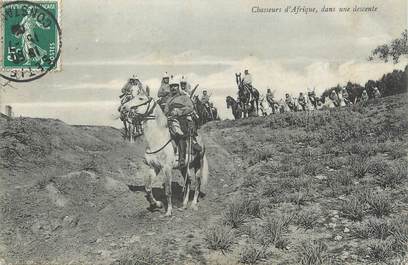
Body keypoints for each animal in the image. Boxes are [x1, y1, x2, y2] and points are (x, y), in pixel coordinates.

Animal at [122, 81, 209, 216]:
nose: (123, 108)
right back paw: (184, 205)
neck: (157, 138)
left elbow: (168, 190)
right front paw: (156, 204)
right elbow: (148, 188)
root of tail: (200, 140)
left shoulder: (166, 168)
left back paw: (193, 204)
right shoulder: (154, 167)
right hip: (184, 167)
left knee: (197, 183)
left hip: (198, 164)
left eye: (141, 98)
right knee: (188, 182)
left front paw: (168, 211)